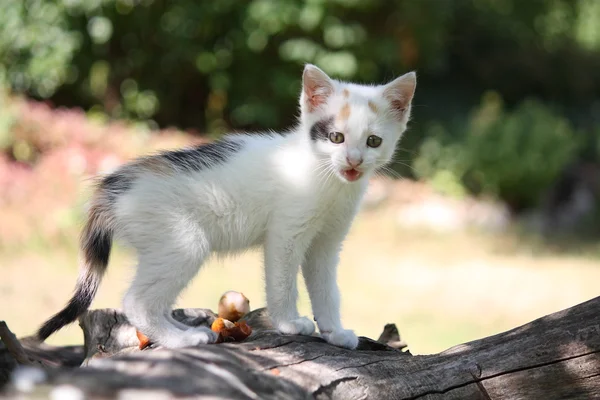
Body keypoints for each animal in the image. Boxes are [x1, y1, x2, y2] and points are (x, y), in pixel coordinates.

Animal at [36, 65, 412, 350]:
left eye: (373, 141)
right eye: (336, 137)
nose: (353, 161)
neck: (326, 179)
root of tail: (113, 188)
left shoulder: (327, 243)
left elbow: (327, 289)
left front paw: (334, 331)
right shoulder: (285, 234)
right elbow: (282, 282)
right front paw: (289, 323)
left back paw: (183, 330)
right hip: (181, 240)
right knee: (136, 301)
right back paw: (181, 340)